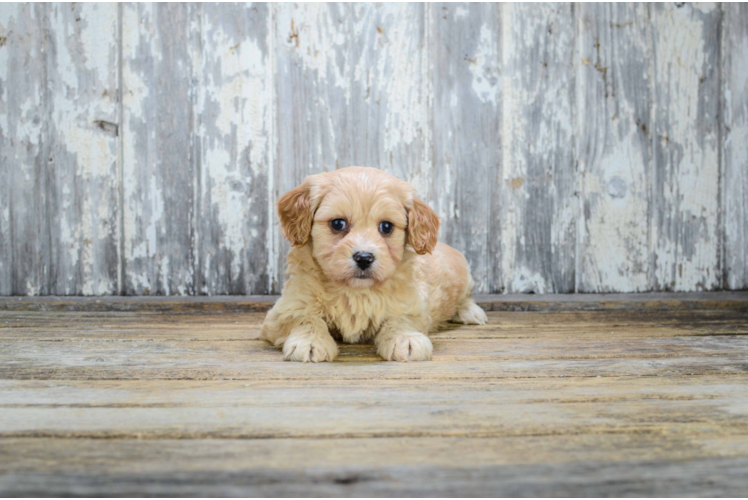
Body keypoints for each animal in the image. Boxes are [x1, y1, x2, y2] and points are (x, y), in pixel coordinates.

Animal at [260, 166, 488, 362]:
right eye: (338, 223)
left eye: (386, 227)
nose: (364, 258)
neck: (355, 291)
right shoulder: (287, 308)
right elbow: (305, 317)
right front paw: (309, 341)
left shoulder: (412, 306)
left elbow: (400, 319)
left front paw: (406, 339)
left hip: (462, 274)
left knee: (465, 296)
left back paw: (470, 312)